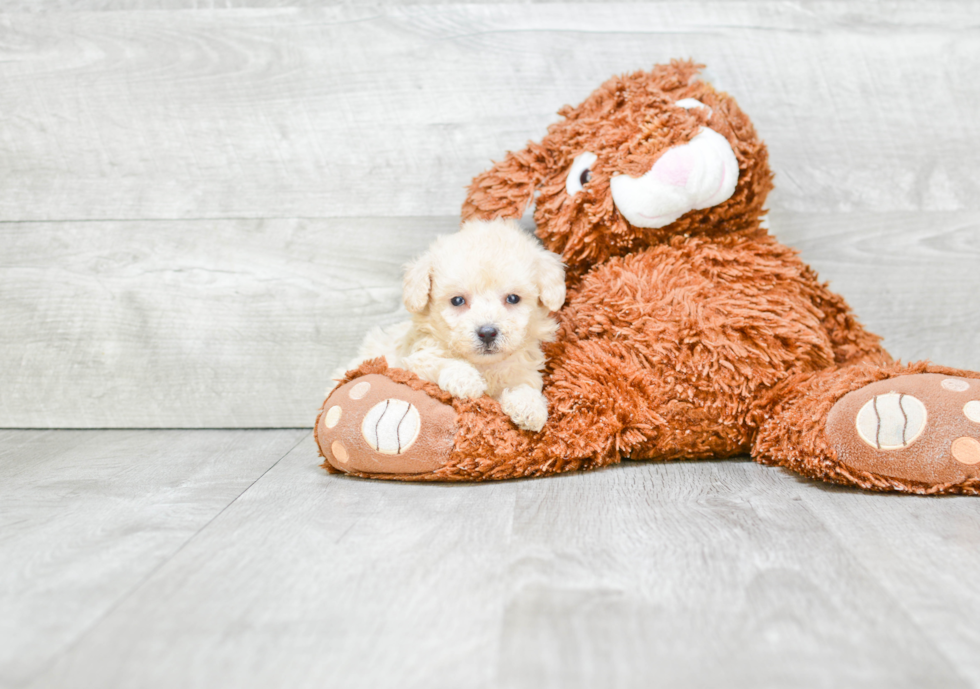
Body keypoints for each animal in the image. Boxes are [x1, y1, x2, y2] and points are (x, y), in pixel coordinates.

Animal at [336, 218, 568, 430]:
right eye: (457, 300)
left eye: (513, 298)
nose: (487, 332)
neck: (485, 366)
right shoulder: (412, 362)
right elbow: (439, 361)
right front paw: (466, 379)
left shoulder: (522, 371)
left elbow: (525, 385)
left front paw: (530, 407)